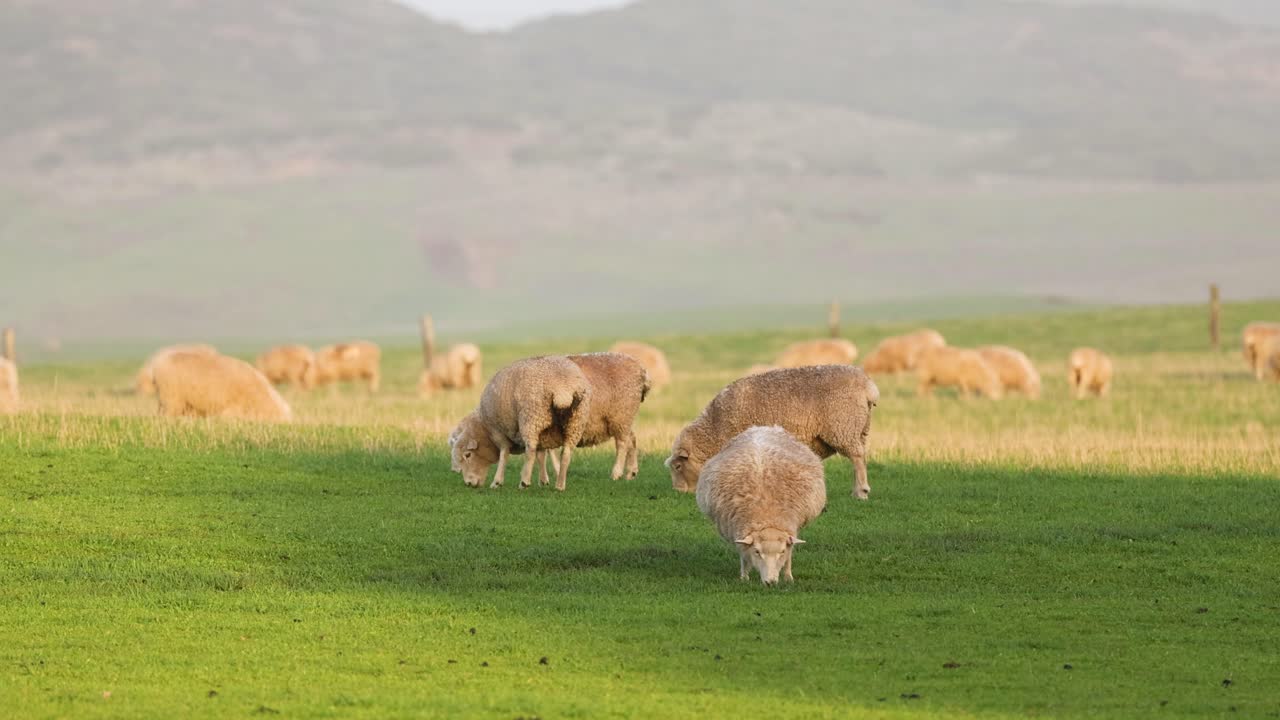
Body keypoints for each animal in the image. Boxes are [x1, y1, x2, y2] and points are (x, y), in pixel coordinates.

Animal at [449, 356, 592, 492]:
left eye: (468, 455)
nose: (468, 484)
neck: (484, 427)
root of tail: (563, 389)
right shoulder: (544, 434)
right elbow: (541, 455)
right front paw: (544, 480)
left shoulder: (497, 431)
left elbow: (504, 453)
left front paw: (497, 481)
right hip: (575, 423)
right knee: (566, 453)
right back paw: (560, 485)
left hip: (532, 419)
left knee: (530, 450)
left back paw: (524, 481)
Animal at [666, 365, 879, 499]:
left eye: (678, 466)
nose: (677, 492)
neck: (715, 428)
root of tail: (868, 386)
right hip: (860, 429)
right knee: (861, 456)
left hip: (843, 427)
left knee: (857, 457)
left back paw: (861, 492)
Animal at [696, 426, 827, 585]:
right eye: (757, 552)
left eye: (782, 551)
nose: (770, 582)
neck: (766, 513)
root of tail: (762, 428)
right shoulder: (740, 532)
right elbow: (744, 556)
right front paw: (744, 577)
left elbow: (789, 556)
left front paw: (788, 577)